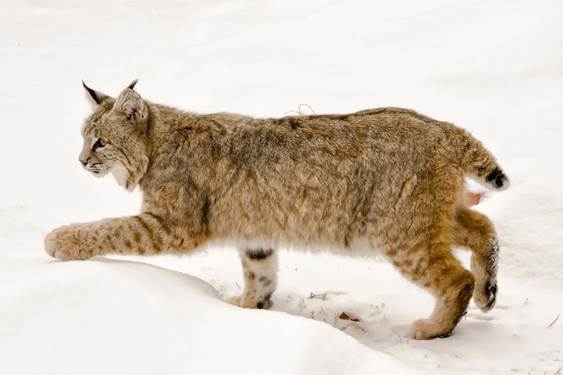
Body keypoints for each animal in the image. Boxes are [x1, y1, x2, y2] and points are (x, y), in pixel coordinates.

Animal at [45, 81, 512, 340]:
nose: (81, 162)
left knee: (455, 277)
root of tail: (439, 125)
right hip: (423, 219)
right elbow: (261, 273)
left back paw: (435, 329)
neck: (157, 143)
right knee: (484, 224)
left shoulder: (173, 225)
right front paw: (248, 308)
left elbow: (111, 228)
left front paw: (59, 240)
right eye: (85, 138)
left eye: (100, 142)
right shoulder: (256, 232)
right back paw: (487, 291)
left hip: (399, 233)